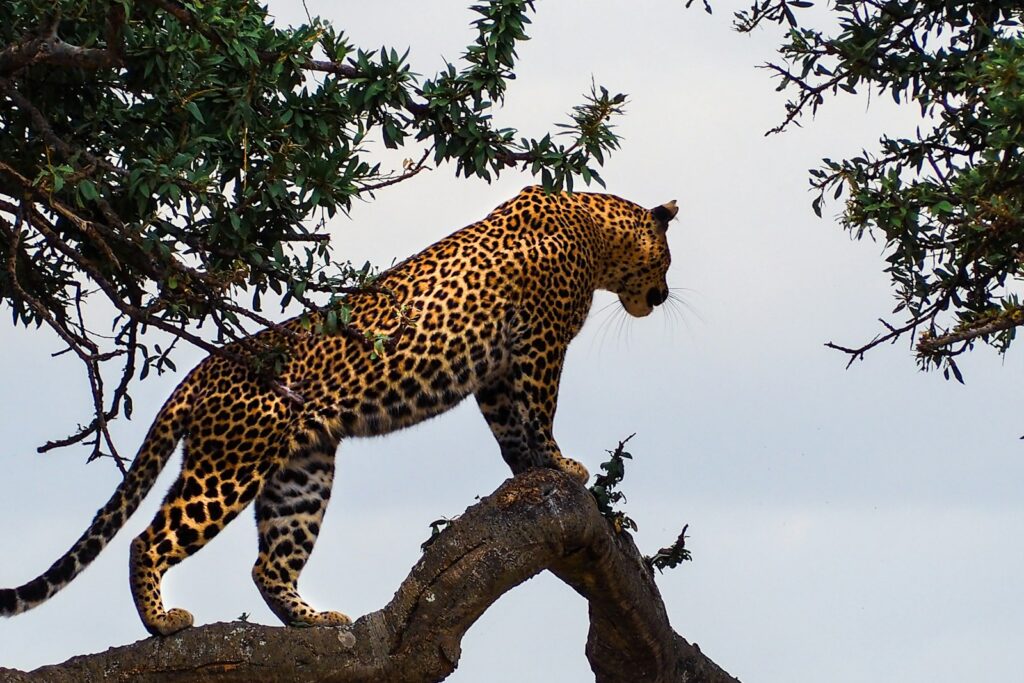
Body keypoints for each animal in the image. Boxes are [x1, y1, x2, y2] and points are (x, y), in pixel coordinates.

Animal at [0, 186, 678, 636]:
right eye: (668, 260)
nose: (665, 295)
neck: (595, 230)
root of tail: (203, 370)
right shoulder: (539, 344)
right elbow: (539, 410)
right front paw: (562, 465)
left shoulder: (494, 372)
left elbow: (510, 428)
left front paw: (528, 471)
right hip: (228, 467)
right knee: (149, 539)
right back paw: (163, 622)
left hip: (301, 473)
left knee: (267, 563)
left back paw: (313, 620)